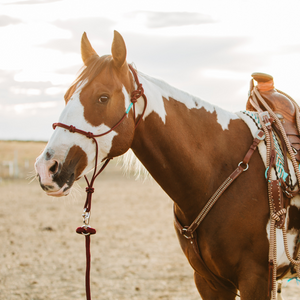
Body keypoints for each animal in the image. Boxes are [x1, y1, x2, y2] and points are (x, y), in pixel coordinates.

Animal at [35, 31, 300, 300]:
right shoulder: (210, 282)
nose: (47, 168)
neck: (219, 170)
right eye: (66, 96)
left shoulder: (255, 279)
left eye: (103, 97)